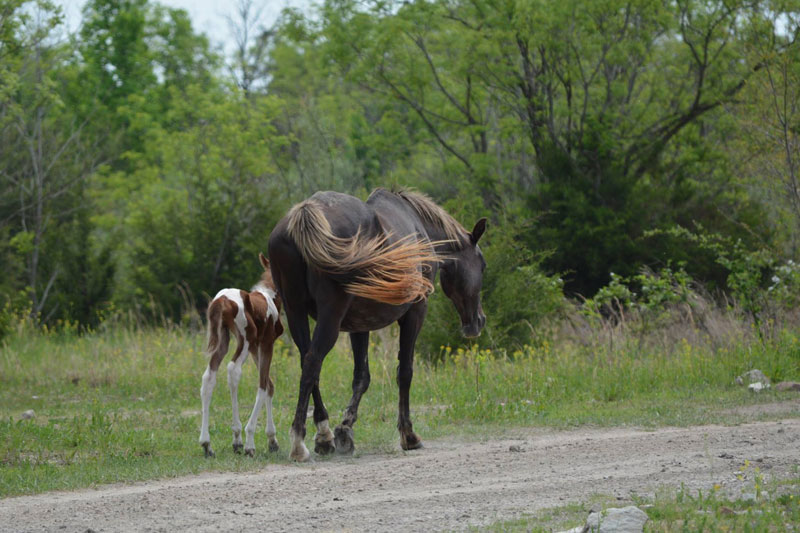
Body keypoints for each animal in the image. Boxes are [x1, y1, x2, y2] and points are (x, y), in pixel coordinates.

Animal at [198, 251, 282, 456]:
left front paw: (272, 440)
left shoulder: (255, 348)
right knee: (233, 370)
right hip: (245, 338)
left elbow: (269, 384)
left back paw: (207, 444)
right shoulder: (266, 343)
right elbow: (264, 384)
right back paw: (239, 438)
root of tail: (221, 301)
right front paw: (255, 438)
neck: (270, 295)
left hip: (224, 339)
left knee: (208, 376)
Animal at [268, 188, 484, 462]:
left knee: (308, 364)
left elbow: (362, 377)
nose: (478, 321)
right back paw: (298, 443)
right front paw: (408, 435)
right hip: (330, 317)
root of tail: (303, 217)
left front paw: (345, 429)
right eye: (482, 265)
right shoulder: (415, 312)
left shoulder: (359, 325)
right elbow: (405, 371)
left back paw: (324, 435)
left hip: (295, 312)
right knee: (312, 362)